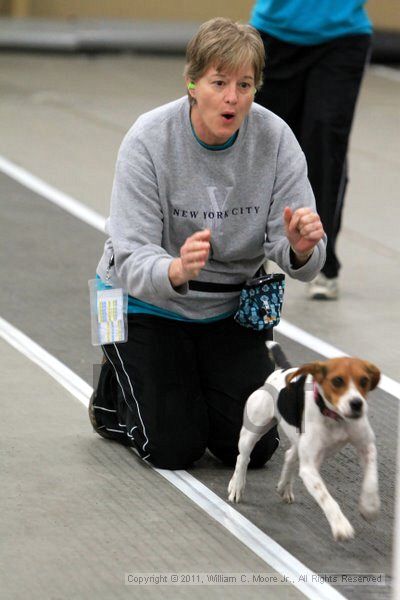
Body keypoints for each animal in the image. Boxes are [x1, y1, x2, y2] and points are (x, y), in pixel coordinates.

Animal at [228, 340, 382, 540]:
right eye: (337, 381)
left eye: (364, 381)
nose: (357, 404)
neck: (335, 418)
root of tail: (282, 370)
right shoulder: (309, 469)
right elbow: (326, 498)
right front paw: (340, 525)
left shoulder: (367, 447)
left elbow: (371, 479)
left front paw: (370, 507)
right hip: (253, 430)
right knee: (243, 458)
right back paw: (237, 486)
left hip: (300, 442)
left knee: (289, 455)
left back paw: (284, 486)